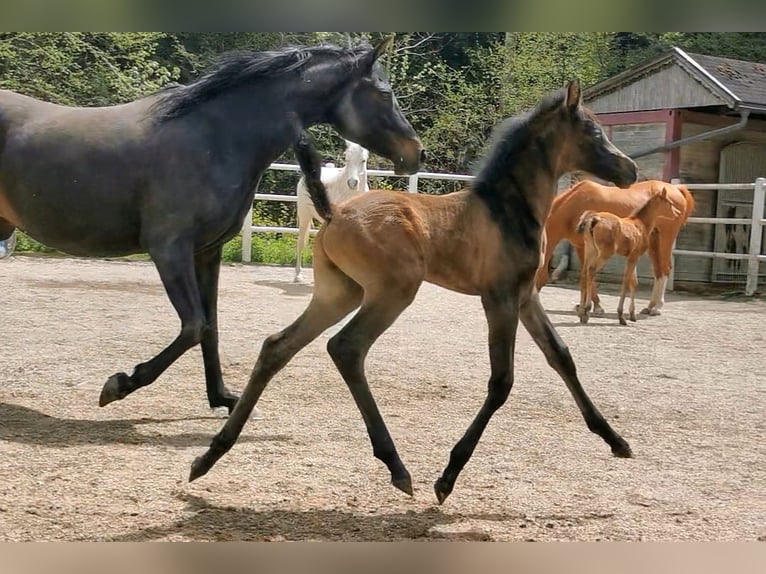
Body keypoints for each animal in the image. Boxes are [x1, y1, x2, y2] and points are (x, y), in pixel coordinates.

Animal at [294, 140, 368, 284]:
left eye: (363, 160)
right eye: (346, 159)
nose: (352, 183)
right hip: (304, 215)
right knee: (300, 243)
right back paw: (298, 275)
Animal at [536, 180, 696, 318]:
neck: (574, 205)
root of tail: (676, 189)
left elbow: (589, 273)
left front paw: (595, 307)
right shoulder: (582, 247)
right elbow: (587, 273)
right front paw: (590, 306)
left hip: (665, 239)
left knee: (665, 268)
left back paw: (657, 308)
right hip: (654, 242)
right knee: (658, 271)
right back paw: (650, 306)